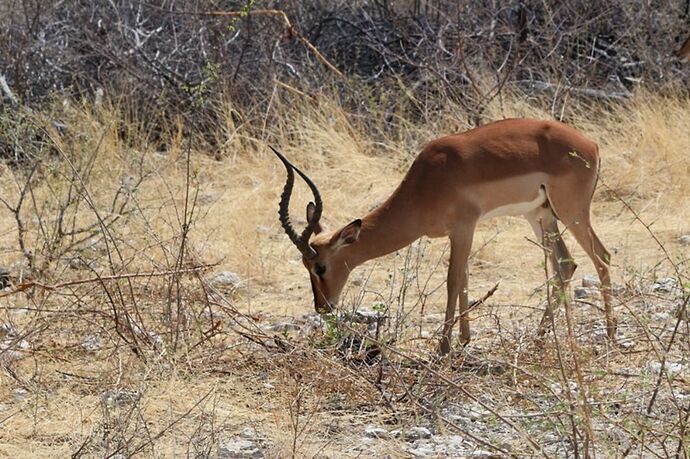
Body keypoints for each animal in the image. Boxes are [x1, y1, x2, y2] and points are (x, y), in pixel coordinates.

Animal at [268, 117, 612, 354]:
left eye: (320, 267)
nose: (322, 307)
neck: (426, 182)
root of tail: (591, 145)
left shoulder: (464, 226)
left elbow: (452, 280)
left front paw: (444, 346)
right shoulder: (458, 233)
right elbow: (465, 279)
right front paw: (464, 339)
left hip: (571, 211)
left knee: (602, 256)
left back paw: (610, 332)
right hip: (540, 215)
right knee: (565, 264)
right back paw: (542, 337)